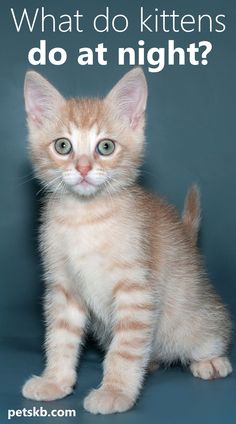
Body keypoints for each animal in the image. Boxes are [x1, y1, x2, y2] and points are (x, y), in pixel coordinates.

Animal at [22, 68, 232, 414]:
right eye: (63, 146)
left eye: (105, 147)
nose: (83, 168)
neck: (86, 217)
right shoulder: (63, 288)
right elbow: (60, 338)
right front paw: (55, 380)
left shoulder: (136, 290)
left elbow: (125, 348)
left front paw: (115, 391)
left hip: (194, 318)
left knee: (212, 331)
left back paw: (211, 360)